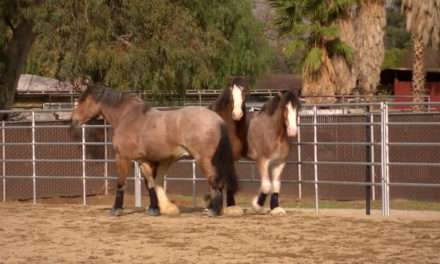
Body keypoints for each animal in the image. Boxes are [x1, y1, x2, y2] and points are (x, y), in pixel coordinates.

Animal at [71, 83, 239, 217]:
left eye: (83, 100)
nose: (73, 120)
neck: (128, 117)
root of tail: (217, 119)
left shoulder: (122, 157)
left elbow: (121, 183)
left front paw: (116, 209)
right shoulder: (142, 160)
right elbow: (150, 184)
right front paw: (154, 209)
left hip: (204, 160)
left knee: (214, 180)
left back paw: (213, 211)